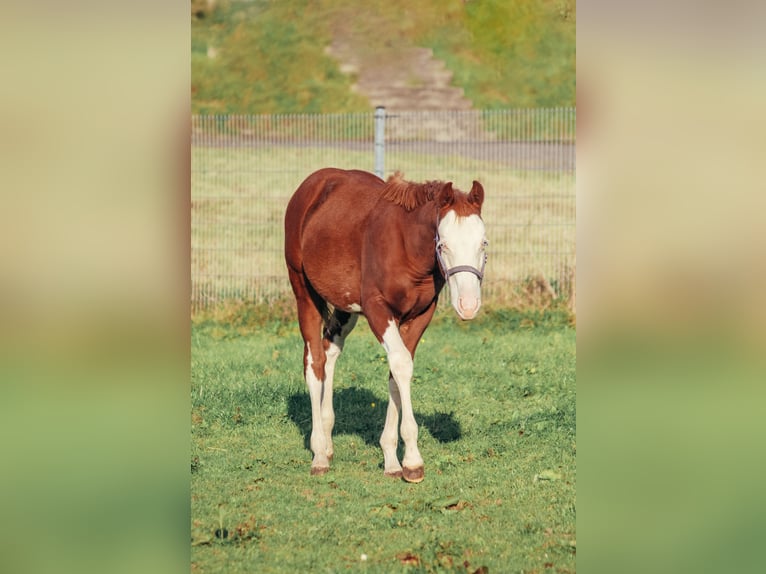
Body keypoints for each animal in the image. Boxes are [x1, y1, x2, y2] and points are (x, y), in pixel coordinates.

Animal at [284, 168, 487, 482]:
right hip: (304, 293)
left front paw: (392, 460)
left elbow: (397, 370)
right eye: (443, 245)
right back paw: (318, 454)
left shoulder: (419, 315)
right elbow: (400, 364)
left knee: (330, 350)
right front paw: (413, 461)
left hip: (345, 306)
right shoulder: (378, 310)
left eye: (483, 243)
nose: (468, 305)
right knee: (314, 361)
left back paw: (328, 442)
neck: (407, 248)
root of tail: (314, 183)